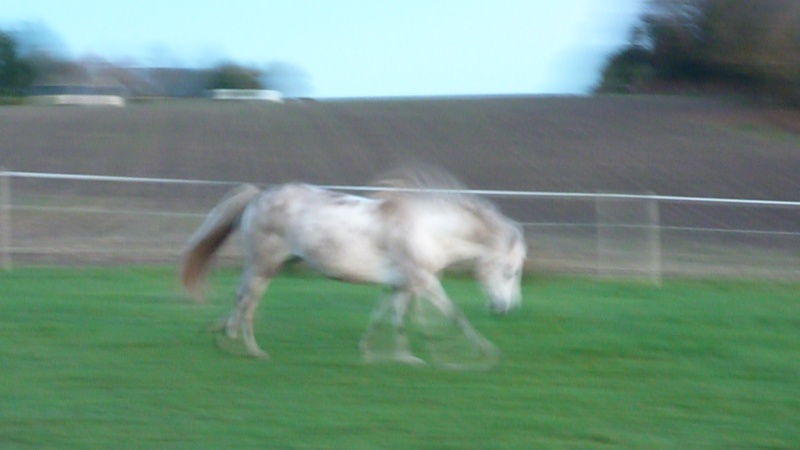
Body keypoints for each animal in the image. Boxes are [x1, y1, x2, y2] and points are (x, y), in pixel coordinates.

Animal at [183, 171, 532, 364]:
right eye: (510, 271)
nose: (506, 309)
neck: (427, 230)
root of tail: (258, 196)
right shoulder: (424, 282)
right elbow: (455, 316)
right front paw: (486, 352)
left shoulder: (399, 284)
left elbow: (388, 318)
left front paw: (389, 355)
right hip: (264, 266)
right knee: (247, 303)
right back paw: (249, 349)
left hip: (261, 266)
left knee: (239, 297)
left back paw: (226, 339)